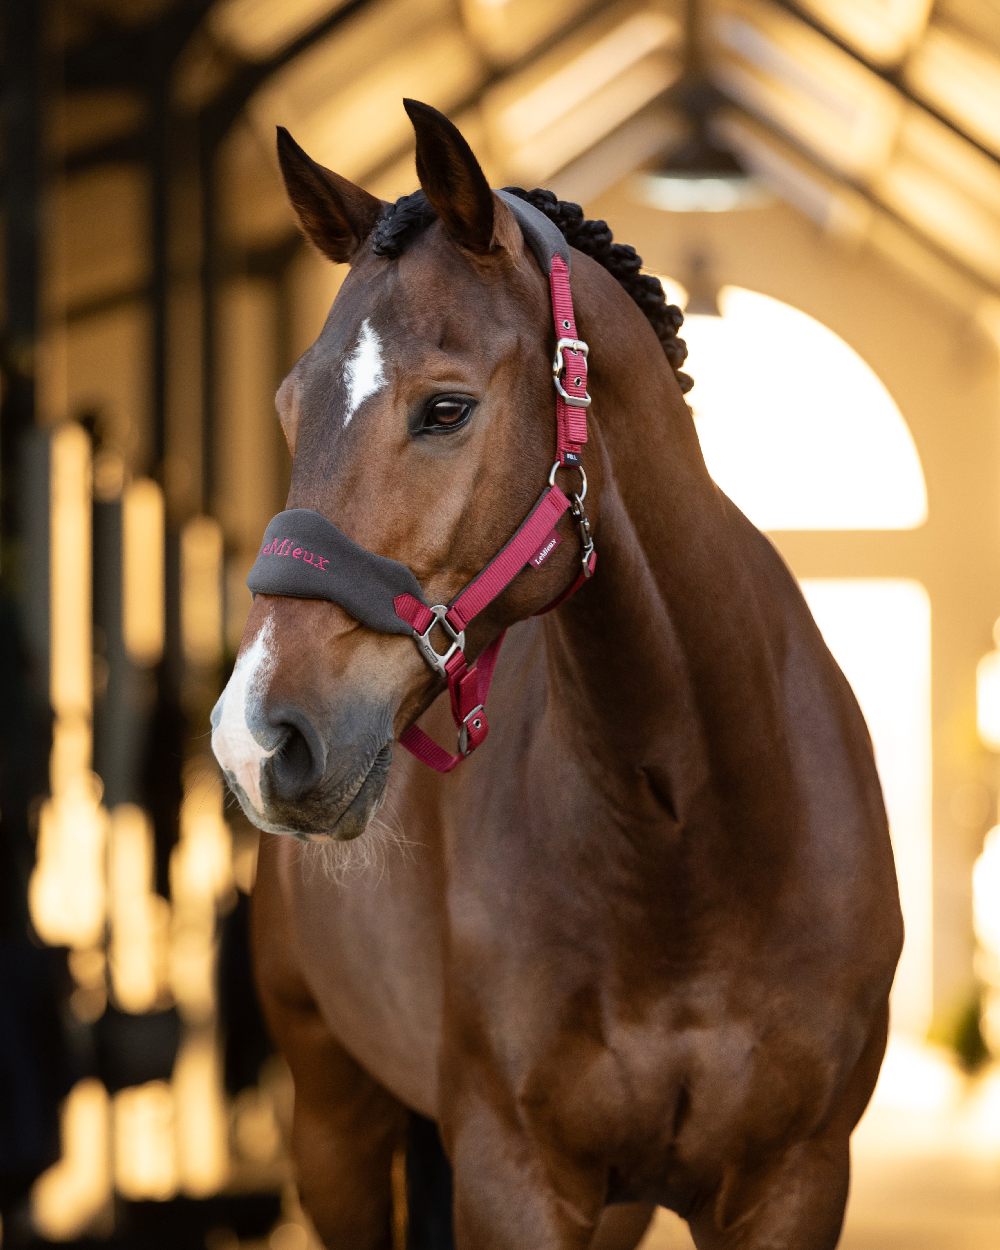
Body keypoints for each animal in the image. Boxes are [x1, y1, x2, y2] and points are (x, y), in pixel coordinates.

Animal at [208, 100, 900, 1250]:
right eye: (285, 405)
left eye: (445, 409)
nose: (256, 737)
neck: (692, 838)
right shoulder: (513, 1176)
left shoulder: (793, 1180)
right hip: (335, 1125)